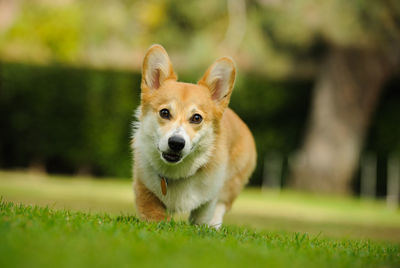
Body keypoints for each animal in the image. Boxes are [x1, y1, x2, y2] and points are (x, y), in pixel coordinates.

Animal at [132, 44, 256, 228]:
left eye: (196, 118)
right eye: (164, 112)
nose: (176, 143)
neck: (176, 173)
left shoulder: (209, 199)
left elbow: (203, 217)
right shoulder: (143, 188)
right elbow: (154, 213)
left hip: (232, 184)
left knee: (221, 206)